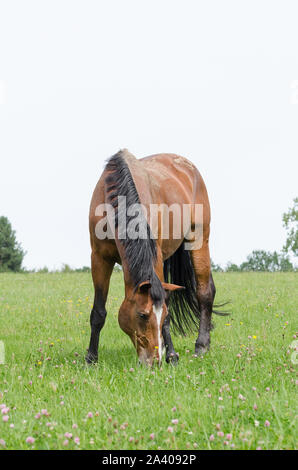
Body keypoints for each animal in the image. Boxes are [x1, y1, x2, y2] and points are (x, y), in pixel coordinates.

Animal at [85, 149, 224, 366]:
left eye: (163, 314)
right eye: (142, 315)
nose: (154, 361)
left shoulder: (155, 257)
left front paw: (172, 355)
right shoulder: (99, 258)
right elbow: (98, 311)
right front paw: (91, 359)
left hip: (199, 239)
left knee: (205, 292)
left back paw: (201, 345)